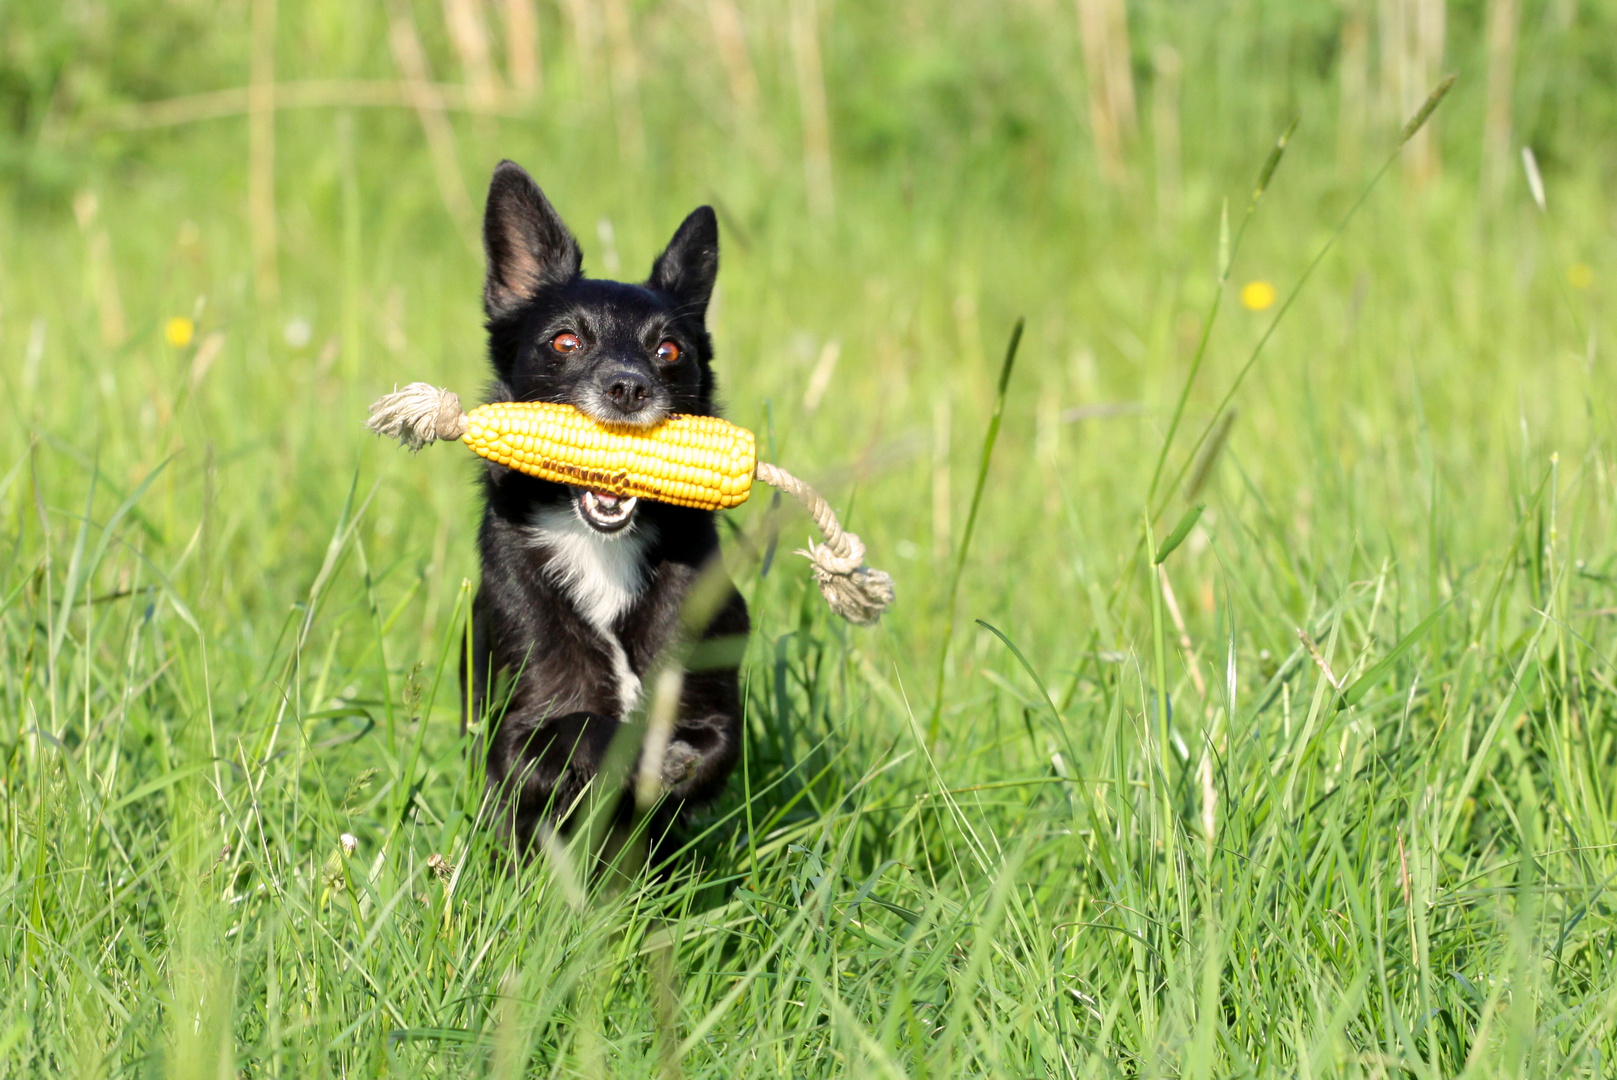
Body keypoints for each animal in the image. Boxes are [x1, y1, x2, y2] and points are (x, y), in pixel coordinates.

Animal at [465, 160, 747, 853]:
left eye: (669, 351)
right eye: (565, 341)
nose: (628, 387)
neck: (600, 547)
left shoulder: (710, 703)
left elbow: (711, 745)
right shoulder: (517, 740)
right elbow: (582, 727)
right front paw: (628, 750)